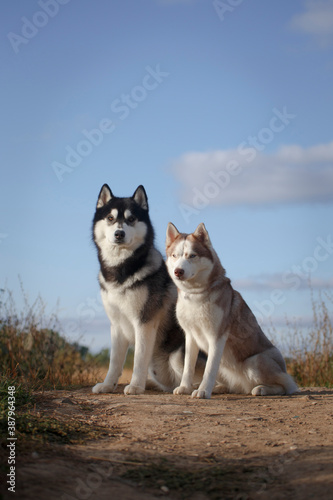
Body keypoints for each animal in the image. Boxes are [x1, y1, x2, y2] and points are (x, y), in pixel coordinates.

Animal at [91, 184, 185, 394]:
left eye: (131, 219)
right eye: (110, 218)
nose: (119, 234)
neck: (121, 272)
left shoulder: (144, 323)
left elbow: (139, 359)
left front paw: (135, 386)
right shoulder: (116, 325)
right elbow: (115, 362)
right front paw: (108, 385)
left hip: (177, 356)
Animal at [165, 223, 296, 398]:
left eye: (192, 256)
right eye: (174, 255)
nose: (178, 271)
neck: (195, 295)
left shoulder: (216, 337)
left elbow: (209, 371)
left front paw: (203, 391)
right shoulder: (190, 336)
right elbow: (188, 367)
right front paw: (185, 387)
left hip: (255, 362)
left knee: (287, 386)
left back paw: (261, 389)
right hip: (224, 365)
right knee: (231, 385)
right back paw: (217, 387)